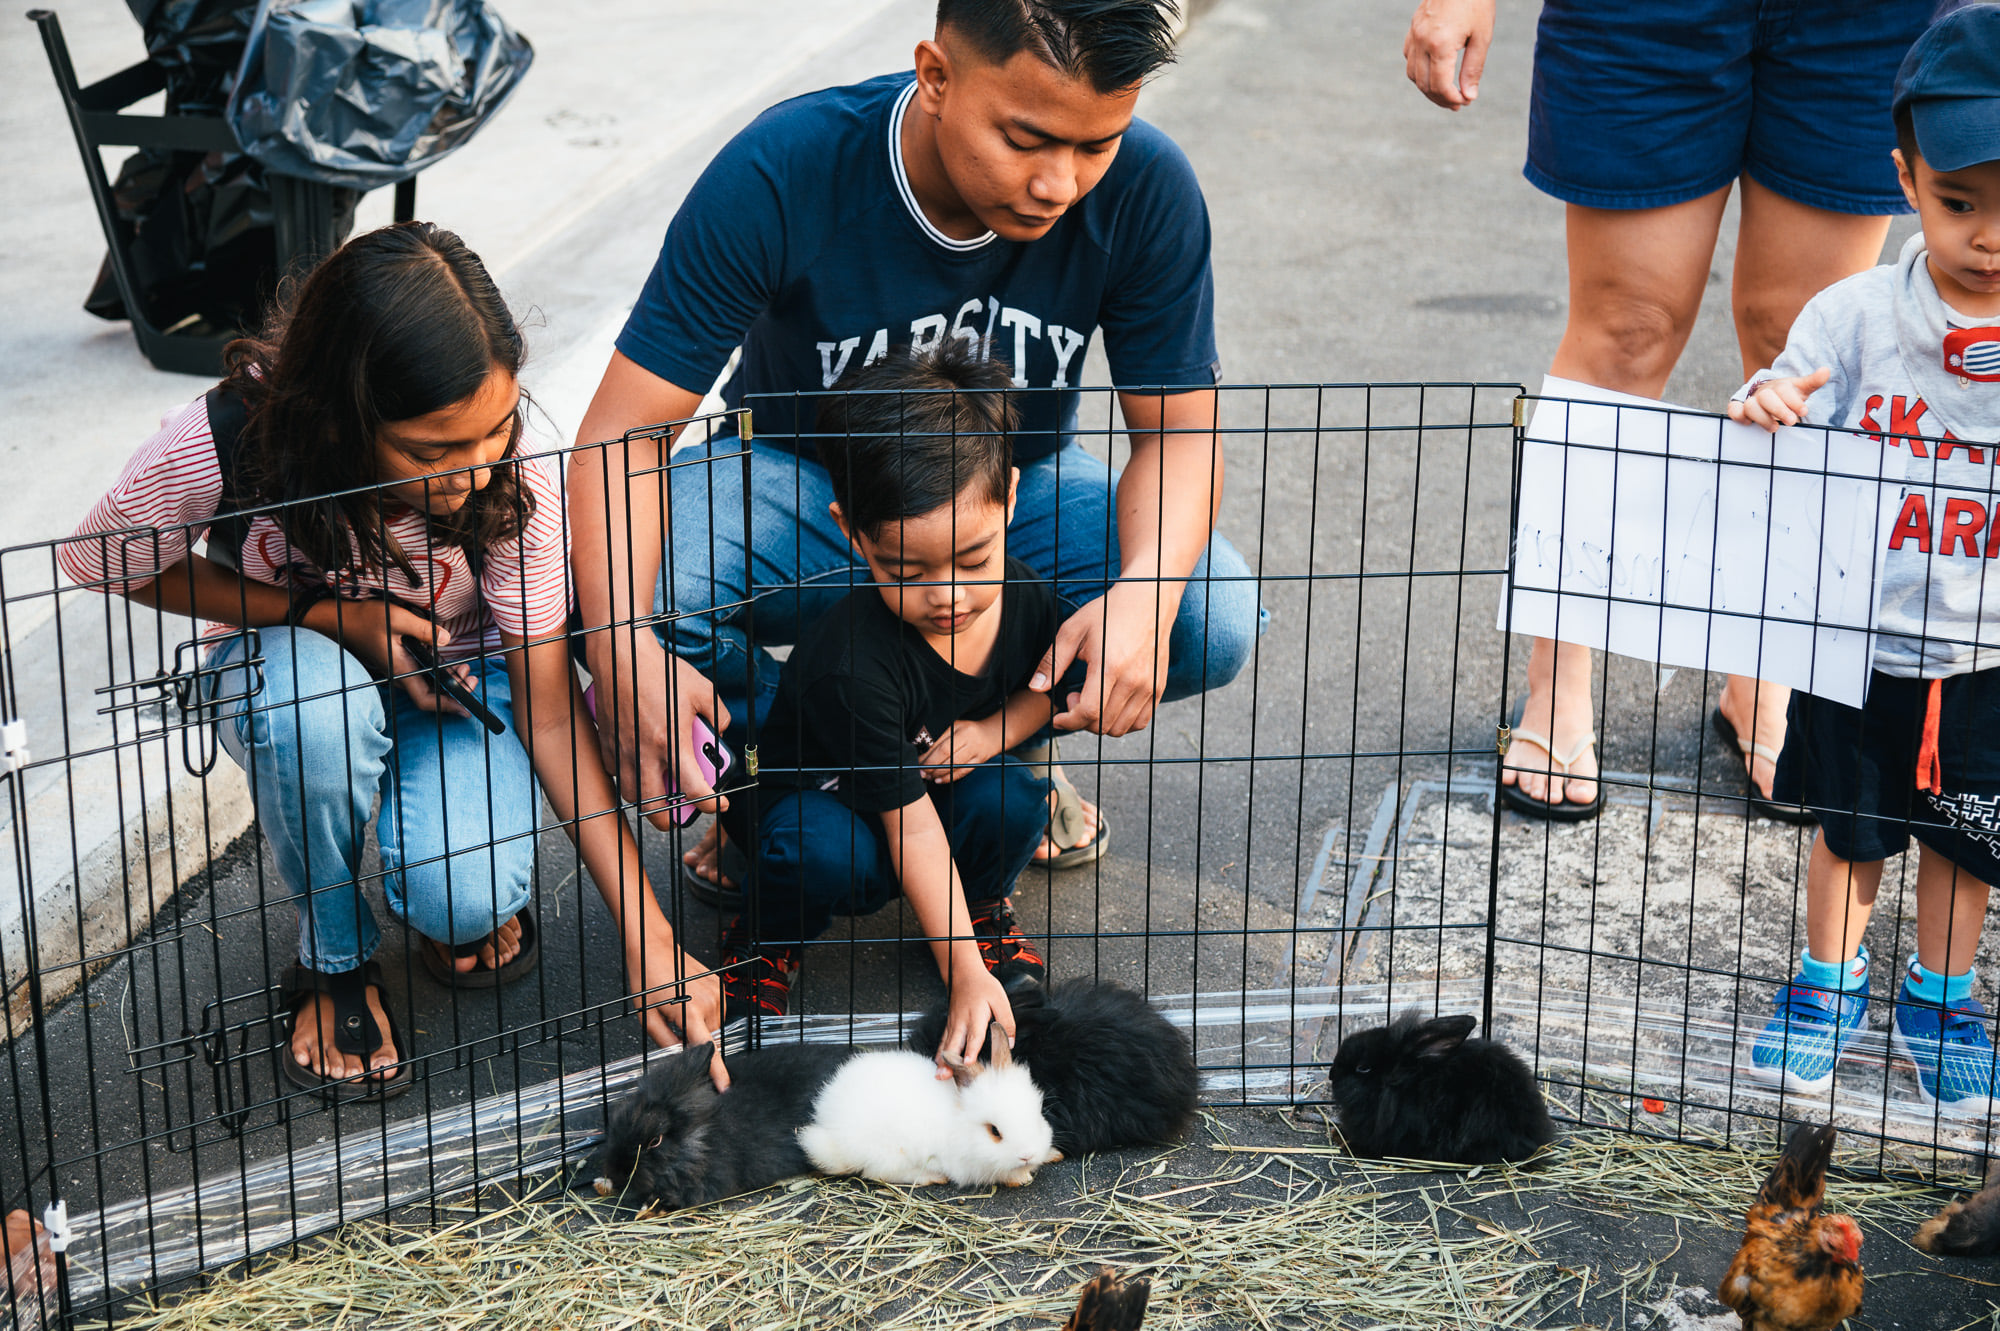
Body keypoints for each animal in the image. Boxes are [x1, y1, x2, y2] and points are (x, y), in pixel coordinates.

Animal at [796, 1015, 1064, 1183]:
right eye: (994, 1132)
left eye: (1038, 1116)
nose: (1027, 1155)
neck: (961, 1121)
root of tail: (829, 1125)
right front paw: (1021, 1176)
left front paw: (1051, 1154)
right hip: (889, 1154)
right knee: (878, 1174)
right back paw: (931, 1177)